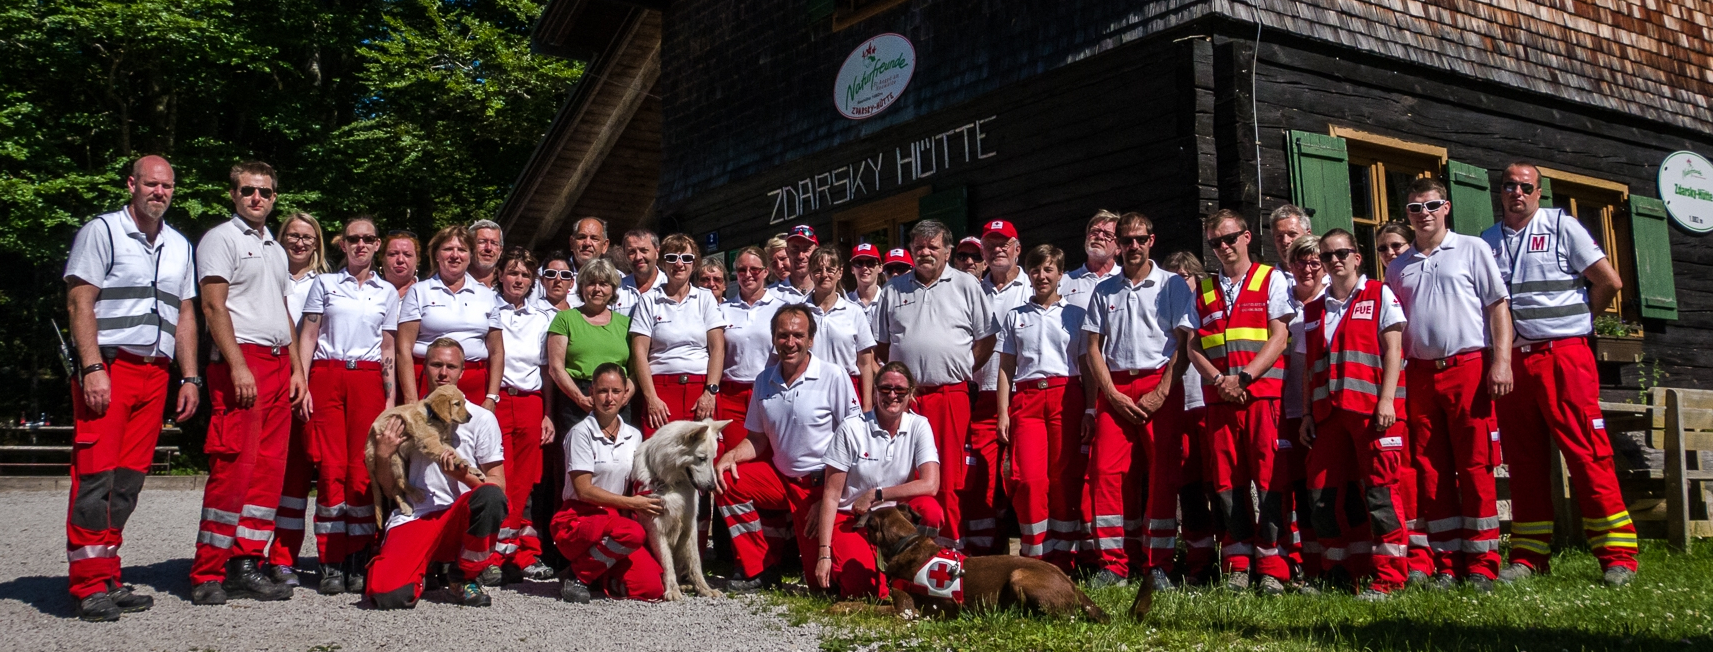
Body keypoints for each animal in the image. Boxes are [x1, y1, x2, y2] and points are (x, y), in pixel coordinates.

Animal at [364, 386, 486, 523]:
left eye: (464, 403)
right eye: (457, 404)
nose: (470, 417)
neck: (433, 416)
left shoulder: (444, 442)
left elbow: (455, 453)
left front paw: (473, 470)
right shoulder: (430, 442)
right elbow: (447, 453)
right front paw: (460, 462)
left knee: (394, 487)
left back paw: (404, 506)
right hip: (393, 457)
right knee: (400, 481)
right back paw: (415, 494)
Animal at [633, 415, 733, 598]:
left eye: (713, 458)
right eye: (702, 458)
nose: (712, 487)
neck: (672, 484)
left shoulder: (690, 526)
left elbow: (695, 562)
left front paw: (704, 588)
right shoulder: (656, 528)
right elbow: (667, 562)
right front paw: (672, 589)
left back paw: (686, 584)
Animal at [839, 503, 1110, 619]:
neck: (906, 542)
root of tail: (1072, 584)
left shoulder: (904, 611)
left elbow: (863, 607)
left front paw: (838, 606)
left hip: (1019, 575)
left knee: (1061, 616)